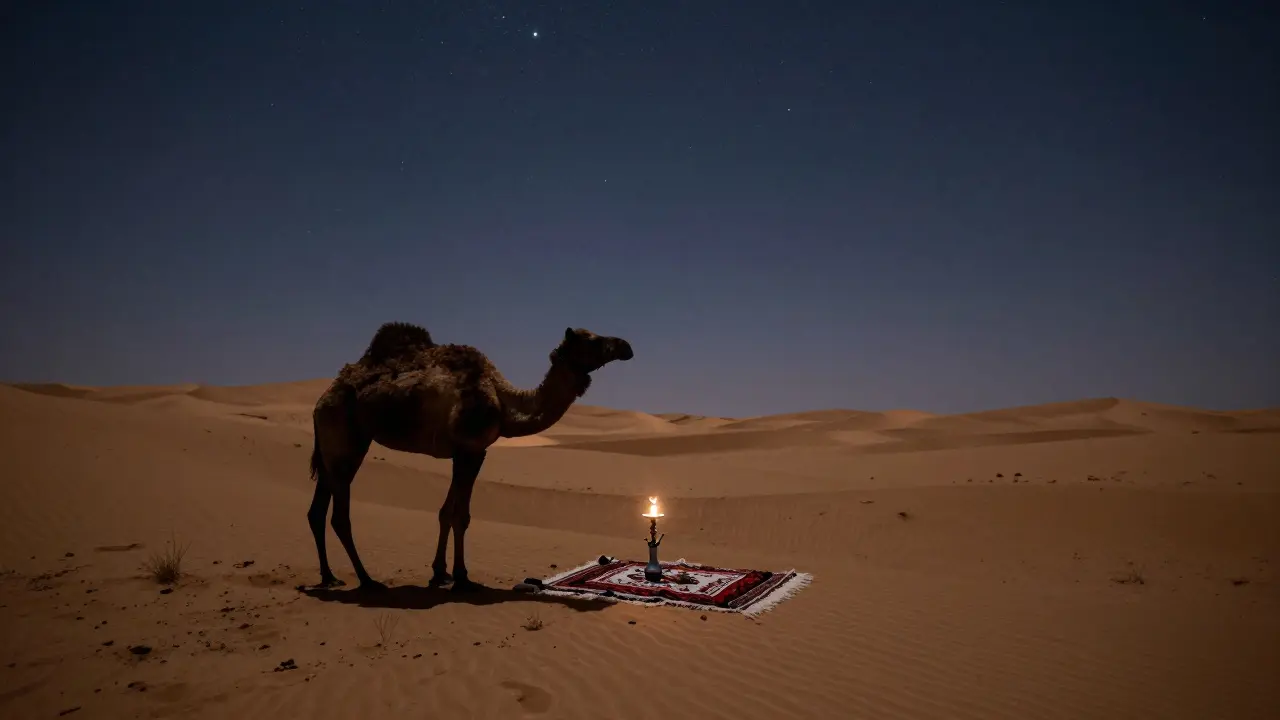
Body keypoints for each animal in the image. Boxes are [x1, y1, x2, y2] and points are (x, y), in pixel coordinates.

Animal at [307, 322, 634, 591]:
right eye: (591, 339)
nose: (626, 346)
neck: (504, 402)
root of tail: (321, 400)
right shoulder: (470, 449)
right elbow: (460, 516)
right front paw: (462, 577)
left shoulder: (468, 452)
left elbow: (445, 513)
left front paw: (440, 574)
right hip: (346, 441)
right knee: (339, 516)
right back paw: (366, 580)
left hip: (334, 447)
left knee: (317, 510)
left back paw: (329, 577)